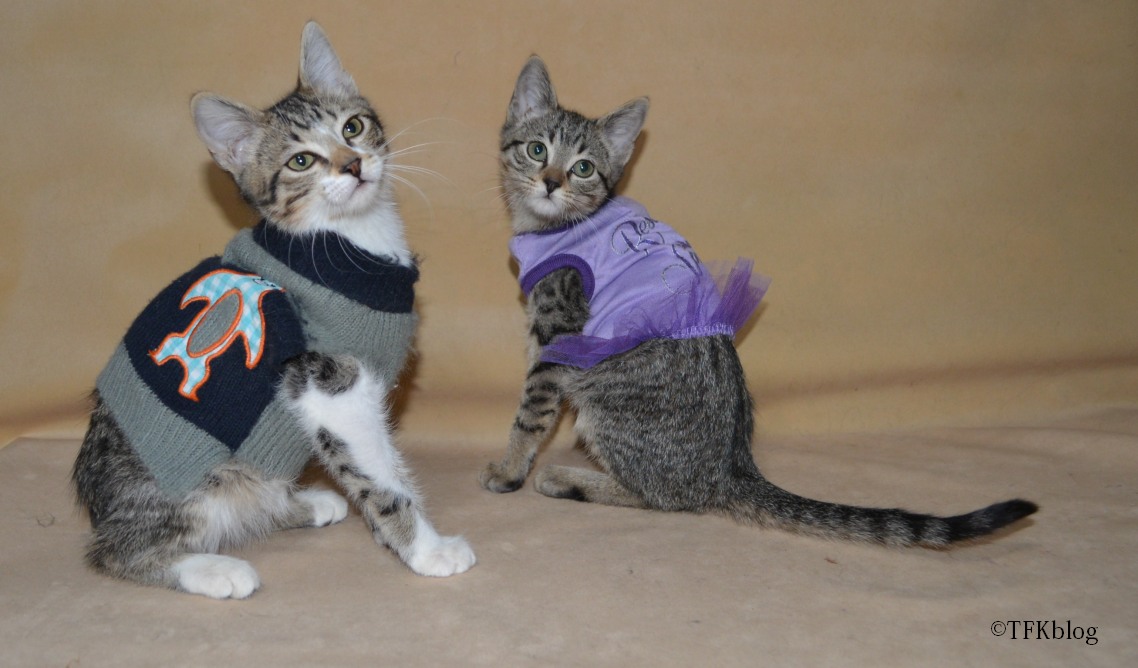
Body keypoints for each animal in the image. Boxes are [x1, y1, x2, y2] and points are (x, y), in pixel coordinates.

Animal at [71, 22, 475, 599]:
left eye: (353, 127)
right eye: (300, 161)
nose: (354, 164)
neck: (346, 242)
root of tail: (97, 507)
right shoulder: (331, 383)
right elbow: (378, 471)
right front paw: (426, 548)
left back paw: (299, 502)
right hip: (182, 486)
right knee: (115, 552)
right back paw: (213, 568)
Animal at [479, 55, 1038, 547]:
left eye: (583, 168)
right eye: (536, 151)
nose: (551, 182)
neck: (556, 225)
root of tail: (733, 467)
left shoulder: (556, 335)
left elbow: (531, 412)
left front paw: (509, 469)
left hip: (602, 394)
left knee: (669, 496)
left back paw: (569, 479)